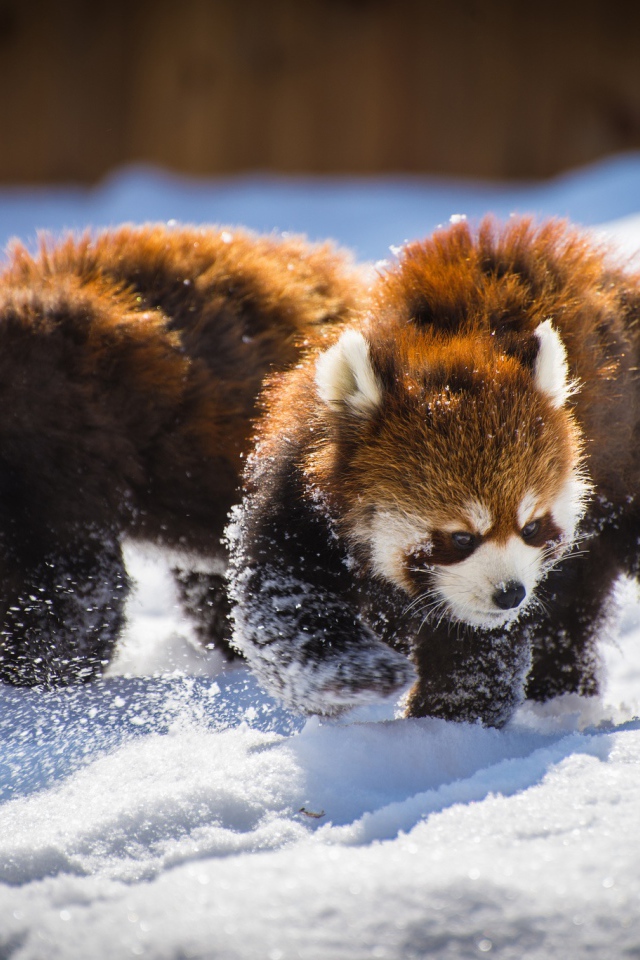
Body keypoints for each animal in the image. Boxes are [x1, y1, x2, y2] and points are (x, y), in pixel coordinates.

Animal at [228, 218, 640, 728]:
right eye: (462, 537)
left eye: (531, 527)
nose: (510, 594)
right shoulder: (298, 500)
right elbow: (280, 608)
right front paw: (366, 672)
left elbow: (475, 663)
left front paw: (434, 734)